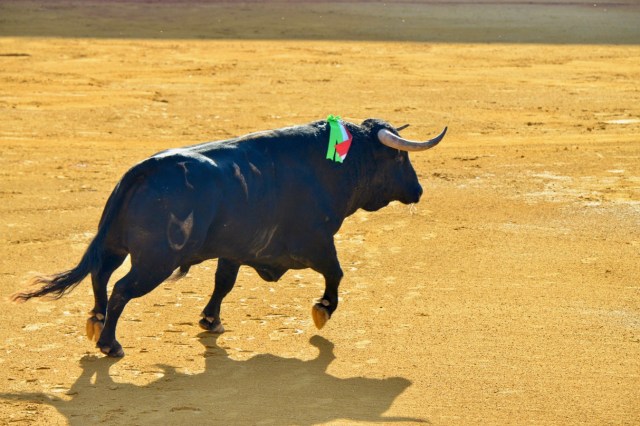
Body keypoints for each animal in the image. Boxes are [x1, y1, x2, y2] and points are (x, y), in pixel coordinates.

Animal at [13, 117, 446, 357]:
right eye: (400, 157)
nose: (418, 190)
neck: (334, 165)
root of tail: (142, 171)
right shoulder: (317, 240)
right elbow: (336, 273)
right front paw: (322, 310)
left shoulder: (234, 249)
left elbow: (224, 283)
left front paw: (210, 320)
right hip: (155, 261)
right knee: (120, 288)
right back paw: (110, 344)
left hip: (118, 247)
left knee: (100, 275)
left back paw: (96, 321)